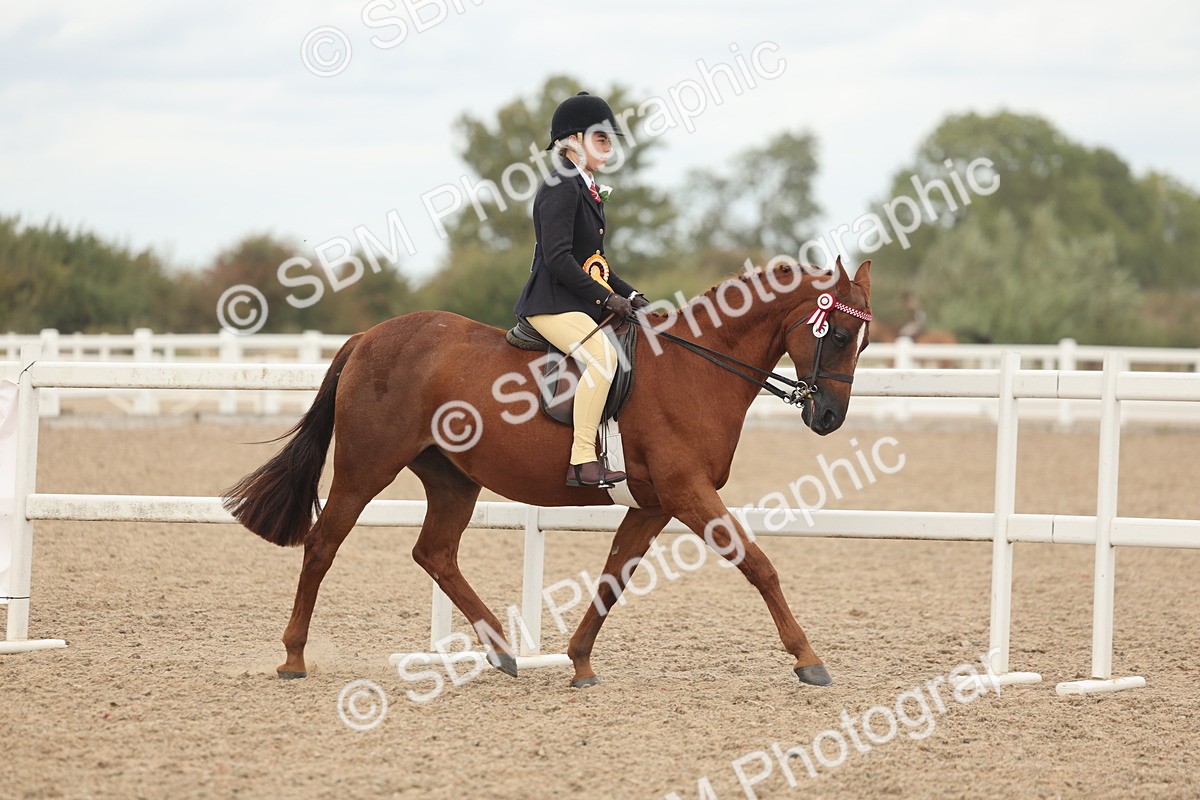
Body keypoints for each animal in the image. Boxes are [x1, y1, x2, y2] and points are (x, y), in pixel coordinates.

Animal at [222, 257, 873, 688]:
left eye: (863, 342)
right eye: (839, 334)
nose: (829, 417)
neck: (697, 368)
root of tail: (367, 337)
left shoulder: (654, 503)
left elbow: (615, 576)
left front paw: (579, 661)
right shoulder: (688, 493)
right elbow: (758, 564)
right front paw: (808, 658)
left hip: (453, 479)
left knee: (435, 553)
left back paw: (503, 651)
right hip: (365, 468)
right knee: (323, 545)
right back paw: (294, 658)